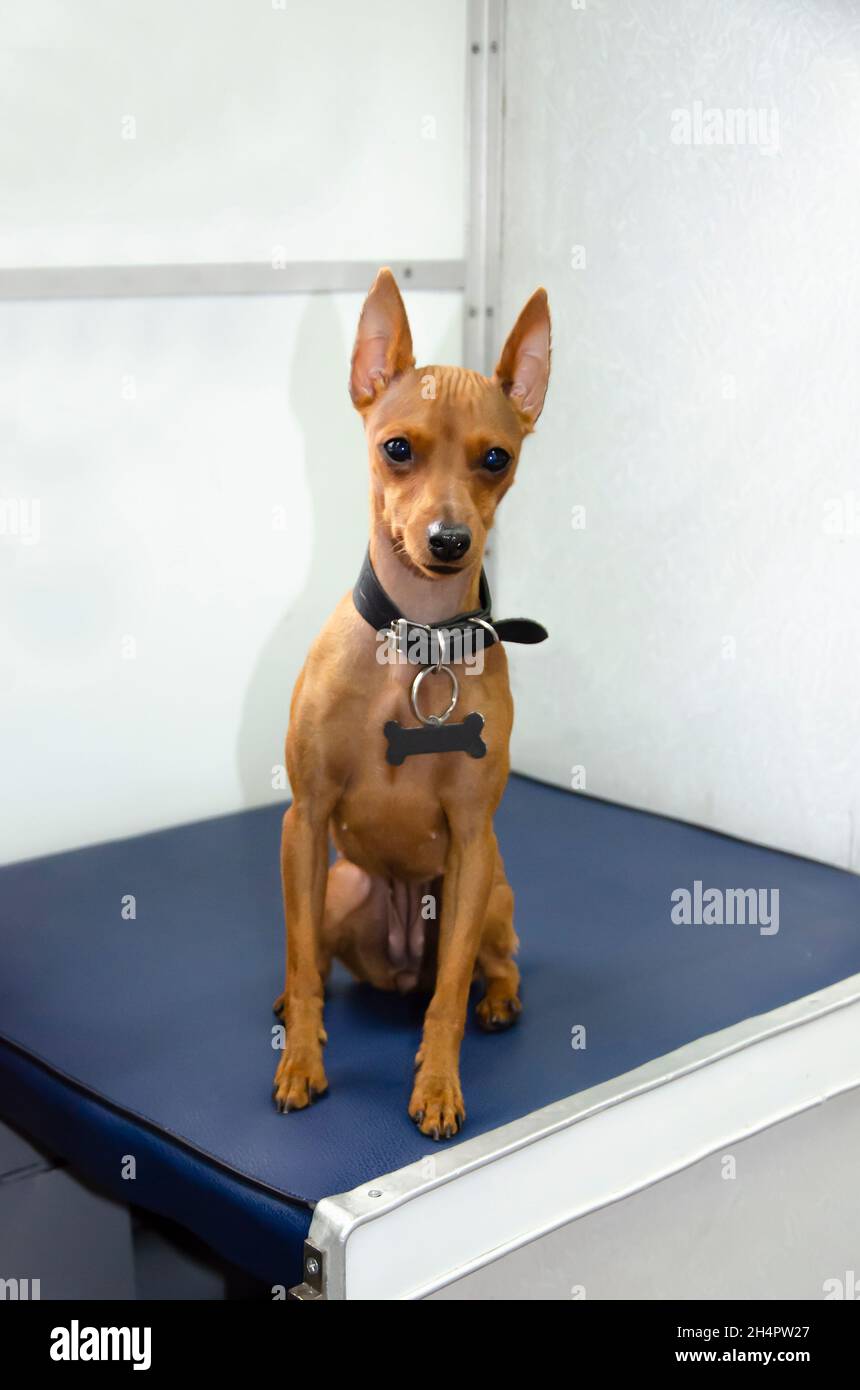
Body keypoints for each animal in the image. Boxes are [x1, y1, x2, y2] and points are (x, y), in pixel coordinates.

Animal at [272, 268, 547, 1139]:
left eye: (496, 458)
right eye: (397, 448)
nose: (450, 540)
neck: (417, 646)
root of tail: (397, 969)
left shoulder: (470, 841)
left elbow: (451, 993)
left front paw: (436, 1085)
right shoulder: (305, 820)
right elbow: (301, 957)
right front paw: (302, 1062)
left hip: (490, 890)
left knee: (494, 964)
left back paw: (501, 1001)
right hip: (341, 886)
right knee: (316, 959)